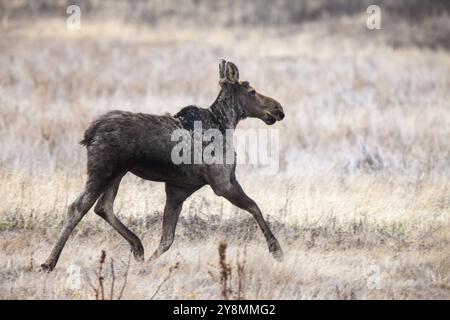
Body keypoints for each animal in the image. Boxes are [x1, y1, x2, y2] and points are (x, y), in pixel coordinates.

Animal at [39, 58, 284, 272]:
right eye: (251, 91)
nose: (278, 109)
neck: (226, 124)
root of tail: (90, 133)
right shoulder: (223, 183)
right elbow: (255, 207)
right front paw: (276, 250)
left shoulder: (178, 188)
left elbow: (167, 238)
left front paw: (147, 264)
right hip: (103, 169)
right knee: (78, 207)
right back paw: (49, 262)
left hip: (118, 172)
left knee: (103, 206)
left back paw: (137, 246)